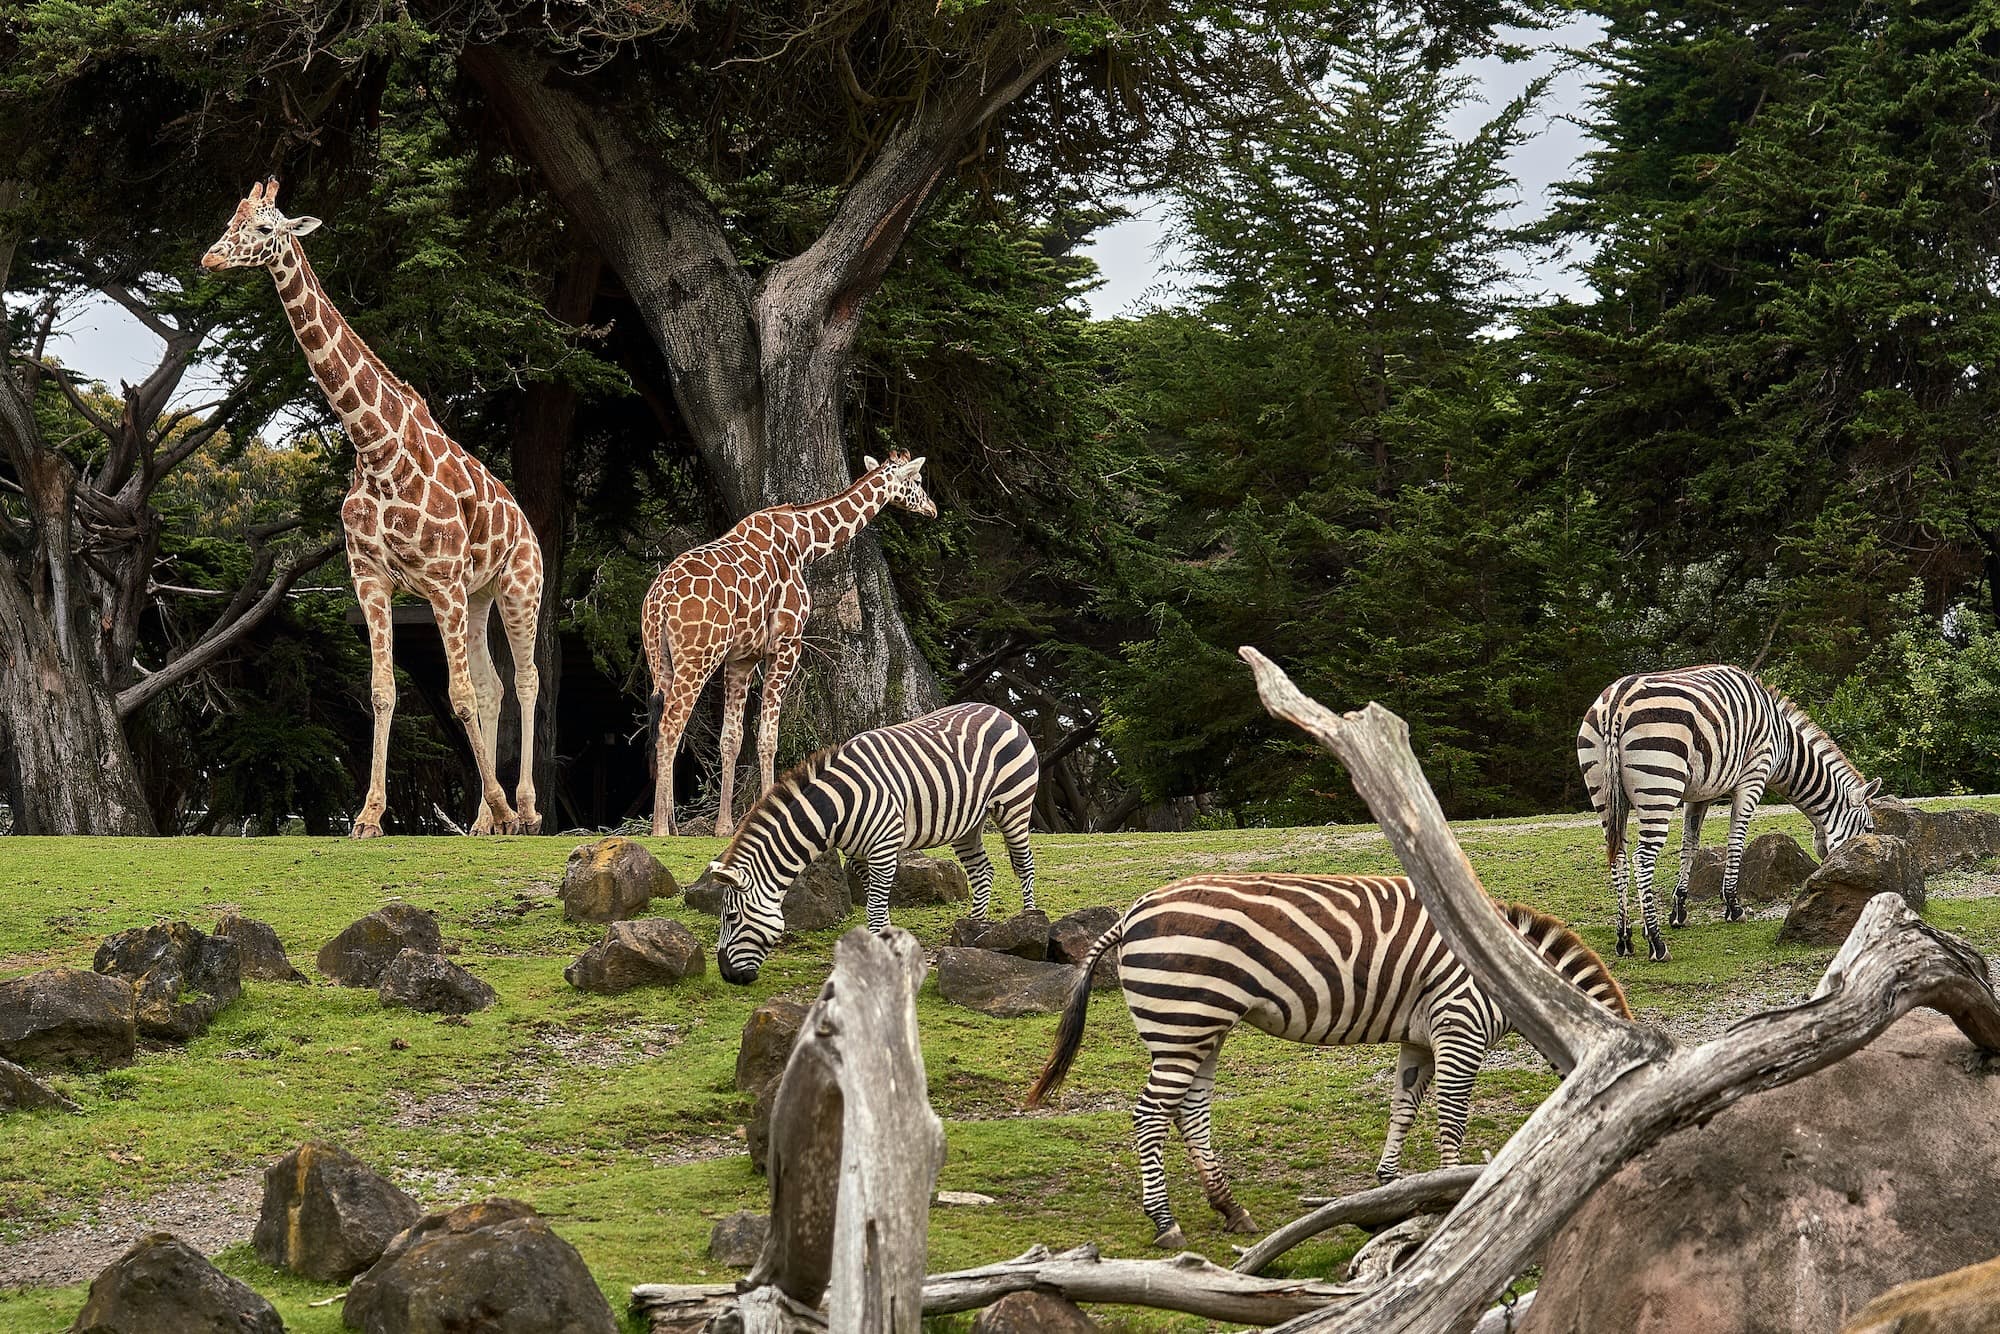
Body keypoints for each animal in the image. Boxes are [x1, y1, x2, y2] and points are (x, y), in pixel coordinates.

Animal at [201, 178, 544, 838]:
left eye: (265, 228)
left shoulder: (440, 581)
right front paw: (367, 816)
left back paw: (526, 809)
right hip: (479, 594)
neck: (375, 446)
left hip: (519, 586)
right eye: (231, 218)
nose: (209, 259)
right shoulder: (372, 577)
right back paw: (486, 820)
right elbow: (385, 690)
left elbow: (458, 695)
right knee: (493, 685)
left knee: (525, 679)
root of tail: (526, 524)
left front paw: (499, 806)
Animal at [642, 452, 937, 837]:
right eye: (916, 481)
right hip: (697, 658)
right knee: (670, 727)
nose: (932, 508)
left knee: (662, 727)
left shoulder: (742, 657)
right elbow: (768, 736)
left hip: (659, 659)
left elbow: (731, 738)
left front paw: (725, 826)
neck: (805, 542)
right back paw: (660, 829)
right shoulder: (786, 644)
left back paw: (670, 824)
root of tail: (659, 600)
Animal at [688, 702, 1039, 984]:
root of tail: (1000, 711)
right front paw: (884, 944)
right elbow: (876, 903)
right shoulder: (858, 855)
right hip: (968, 822)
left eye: (731, 917)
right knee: (982, 871)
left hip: (1014, 804)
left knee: (1024, 864)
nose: (727, 976)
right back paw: (973, 928)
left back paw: (1028, 923)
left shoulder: (883, 848)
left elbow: (874, 908)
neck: (835, 808)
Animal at [1025, 873, 1628, 1249]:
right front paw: (1457, 1192)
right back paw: (1166, 1222)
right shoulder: (1459, 1025)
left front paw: (1390, 1186)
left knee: (1189, 1112)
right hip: (1183, 1019)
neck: (1512, 976)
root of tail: (1131, 913)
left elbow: (1404, 1106)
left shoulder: (1420, 1037)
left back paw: (1230, 1209)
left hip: (1197, 1028)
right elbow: (1452, 1118)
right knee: (1151, 1115)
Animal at [1577, 663, 1880, 962]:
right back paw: (1656, 942)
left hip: (1604, 794)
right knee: (1642, 860)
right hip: (1659, 786)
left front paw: (1679, 910)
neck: (1783, 743)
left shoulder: (1700, 794)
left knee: (1618, 857)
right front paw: (1734, 907)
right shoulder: (1753, 777)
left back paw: (1624, 938)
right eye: (1869, 830)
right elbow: (1736, 841)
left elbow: (1690, 845)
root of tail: (1616, 703)